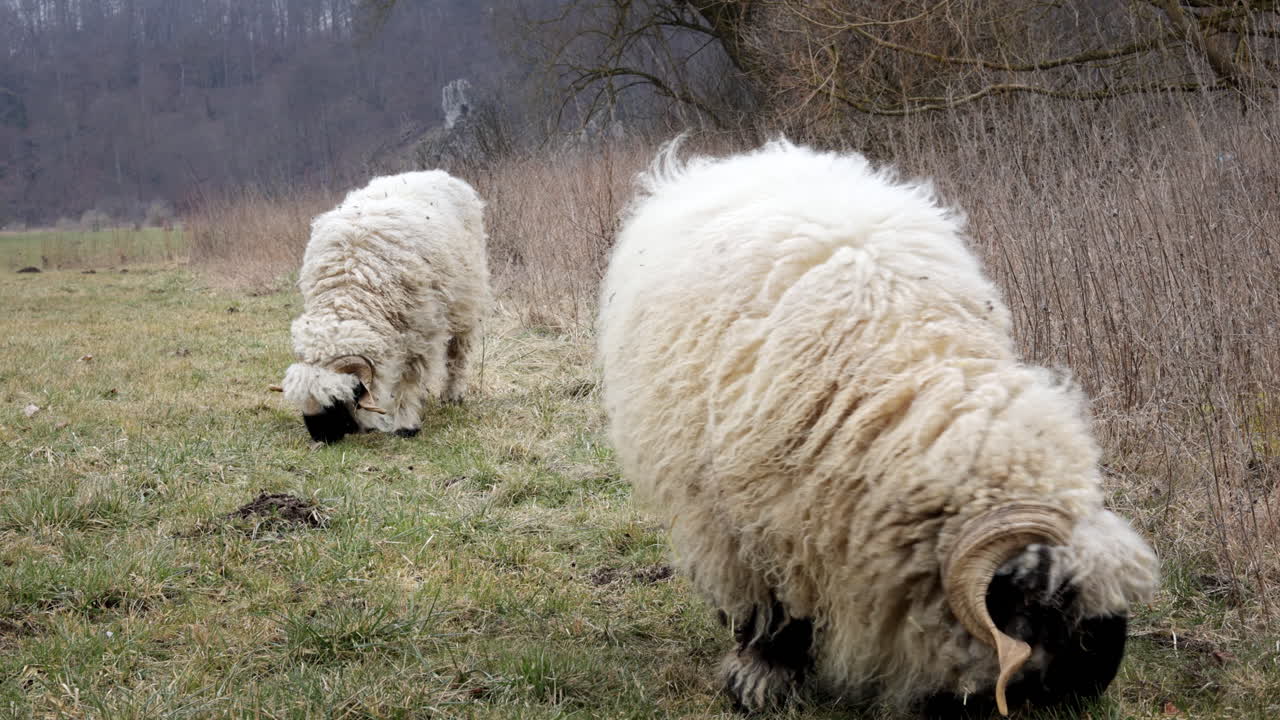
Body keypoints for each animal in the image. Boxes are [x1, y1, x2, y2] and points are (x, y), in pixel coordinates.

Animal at [277, 170, 490, 444]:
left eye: (337, 401)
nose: (322, 438)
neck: (351, 285)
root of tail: (437, 173)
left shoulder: (419, 334)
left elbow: (409, 381)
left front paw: (405, 423)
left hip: (465, 302)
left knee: (458, 355)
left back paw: (452, 395)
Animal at [596, 139, 1158, 717]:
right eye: (1044, 609)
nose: (1090, 693)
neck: (902, 378)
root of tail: (753, 156)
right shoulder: (744, 523)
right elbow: (771, 608)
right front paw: (763, 676)